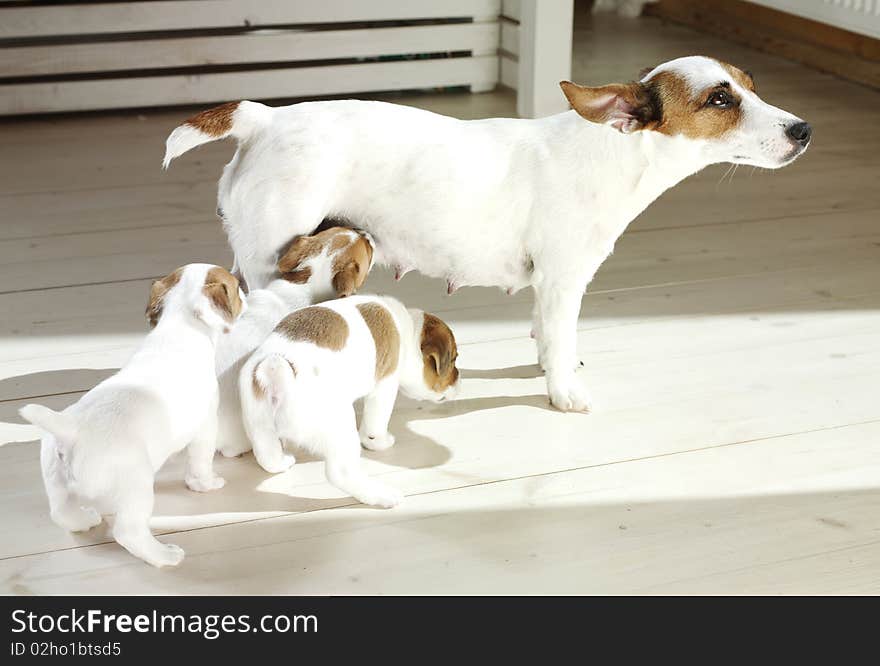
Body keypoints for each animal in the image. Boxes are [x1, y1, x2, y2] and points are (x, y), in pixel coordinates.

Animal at [19, 264, 244, 564]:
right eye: (237, 288)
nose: (244, 287)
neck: (179, 327)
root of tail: (71, 430)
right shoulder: (205, 426)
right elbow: (200, 463)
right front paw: (206, 484)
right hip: (136, 487)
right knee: (129, 533)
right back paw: (164, 555)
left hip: (56, 483)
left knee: (62, 513)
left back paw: (85, 520)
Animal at [239, 294, 460, 506]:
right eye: (454, 360)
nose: (458, 378)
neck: (407, 330)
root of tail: (276, 372)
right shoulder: (385, 387)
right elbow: (376, 424)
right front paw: (380, 442)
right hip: (341, 428)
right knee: (341, 473)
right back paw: (381, 495)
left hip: (259, 427)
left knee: (267, 456)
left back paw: (282, 462)